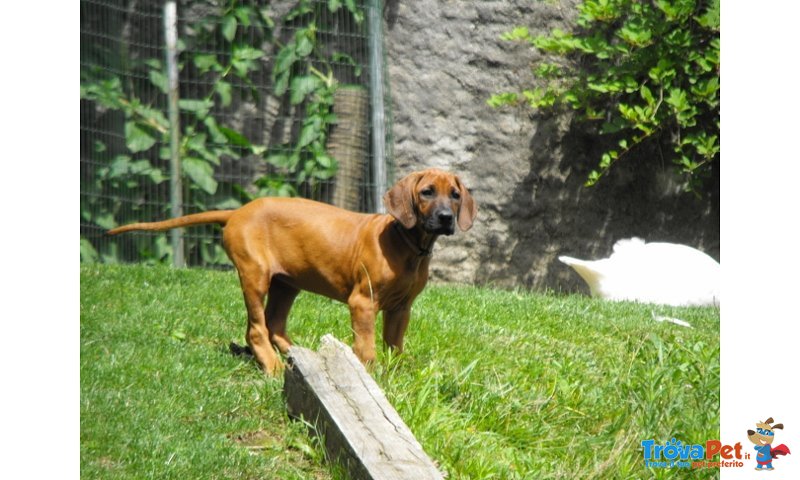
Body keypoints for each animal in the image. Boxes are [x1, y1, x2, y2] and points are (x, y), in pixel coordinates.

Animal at [108, 169, 478, 376]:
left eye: (455, 195)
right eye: (427, 192)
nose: (446, 218)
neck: (408, 244)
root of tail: (238, 211)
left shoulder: (402, 308)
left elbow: (394, 345)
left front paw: (397, 372)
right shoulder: (363, 302)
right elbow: (368, 346)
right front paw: (370, 374)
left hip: (287, 284)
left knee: (275, 324)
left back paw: (296, 355)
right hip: (254, 275)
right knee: (256, 329)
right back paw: (272, 367)